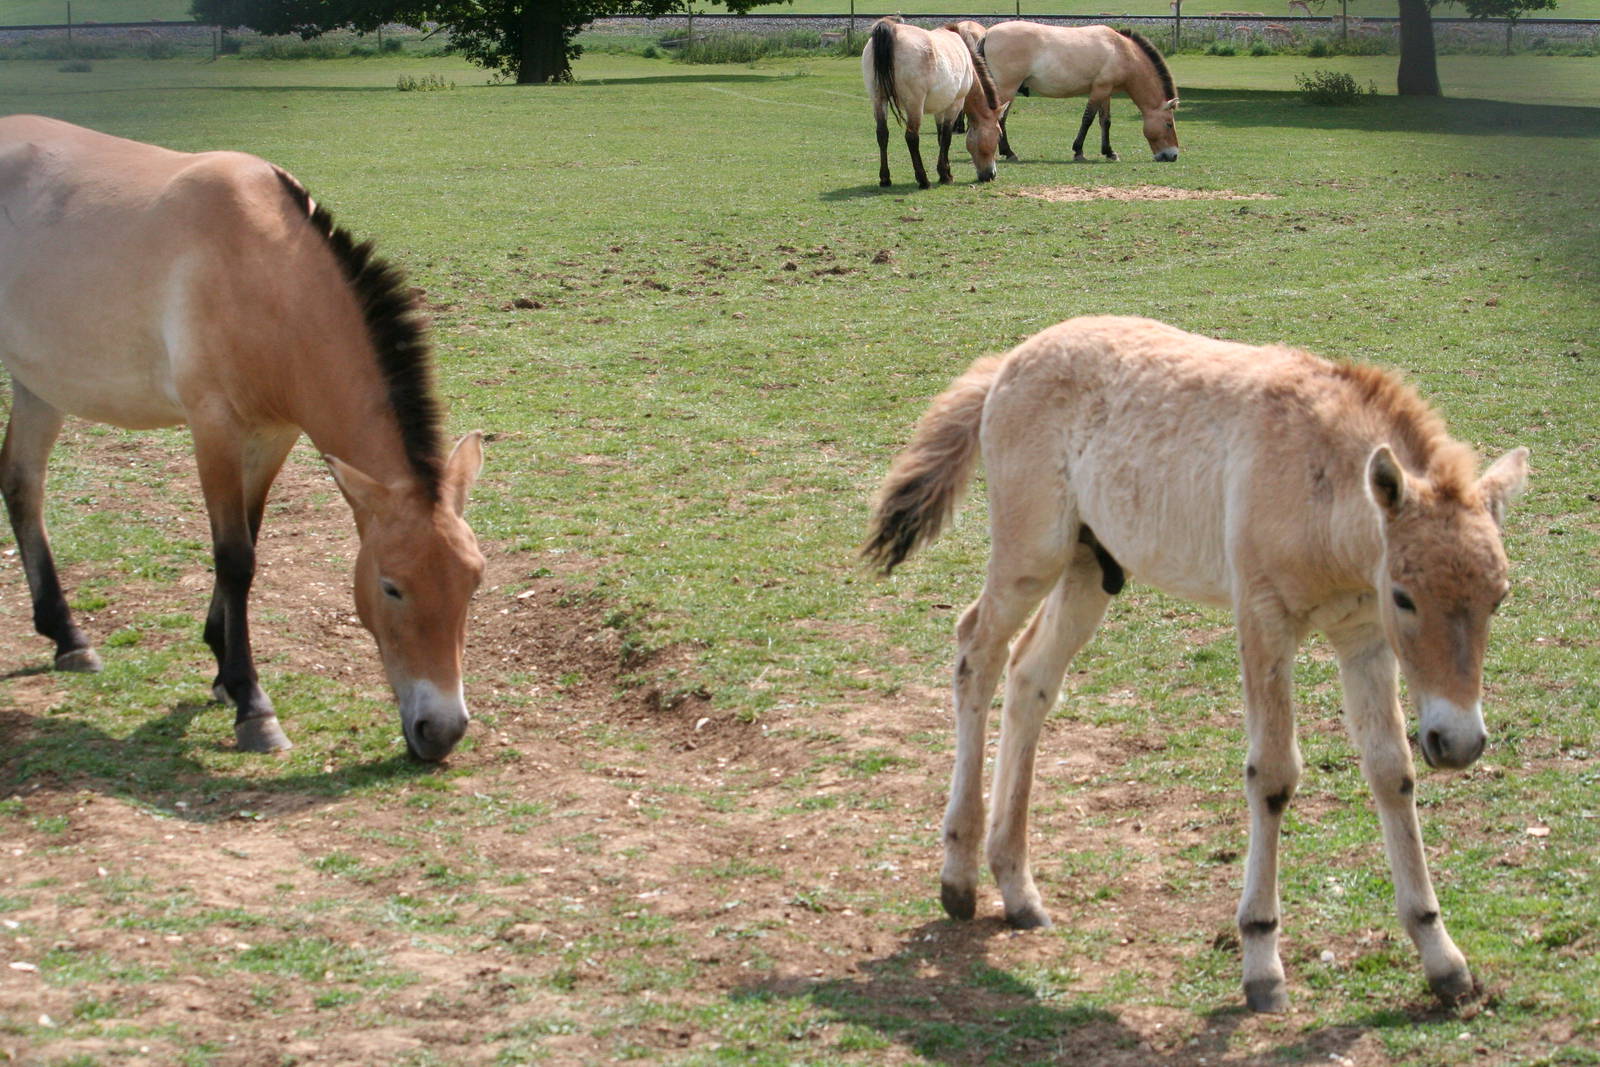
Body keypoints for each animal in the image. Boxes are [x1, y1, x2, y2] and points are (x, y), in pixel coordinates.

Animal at [0, 115, 486, 761]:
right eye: (391, 587)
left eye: (474, 579)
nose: (443, 730)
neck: (265, 273)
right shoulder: (214, 427)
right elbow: (234, 558)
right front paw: (252, 704)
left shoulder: (273, 434)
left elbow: (249, 542)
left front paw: (221, 668)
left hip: (39, 383)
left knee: (21, 485)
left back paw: (68, 636)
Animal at [862, 17, 1001, 189]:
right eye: (998, 135)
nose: (991, 175)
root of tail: (892, 29)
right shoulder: (955, 104)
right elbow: (947, 137)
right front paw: (946, 175)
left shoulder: (940, 108)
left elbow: (940, 137)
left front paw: (944, 172)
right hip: (914, 104)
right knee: (912, 137)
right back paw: (923, 180)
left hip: (878, 99)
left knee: (882, 134)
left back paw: (885, 179)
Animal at [864, 315, 1528, 1011]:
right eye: (1405, 595)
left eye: (1499, 597)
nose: (1459, 741)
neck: (1316, 481)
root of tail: (1010, 360)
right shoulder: (1263, 621)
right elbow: (1274, 776)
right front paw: (1261, 961)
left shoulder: (1363, 637)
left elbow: (1391, 771)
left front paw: (1440, 956)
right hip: (1030, 555)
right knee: (976, 652)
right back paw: (959, 877)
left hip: (1088, 567)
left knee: (1029, 678)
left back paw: (1018, 890)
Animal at [978, 22, 1180, 163]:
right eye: (1169, 124)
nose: (1173, 155)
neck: (1122, 51)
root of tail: (988, 34)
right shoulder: (1099, 90)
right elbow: (1088, 119)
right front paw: (1078, 151)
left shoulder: (1106, 91)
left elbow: (1105, 122)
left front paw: (1109, 152)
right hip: (1007, 88)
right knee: (999, 118)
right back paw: (1008, 153)